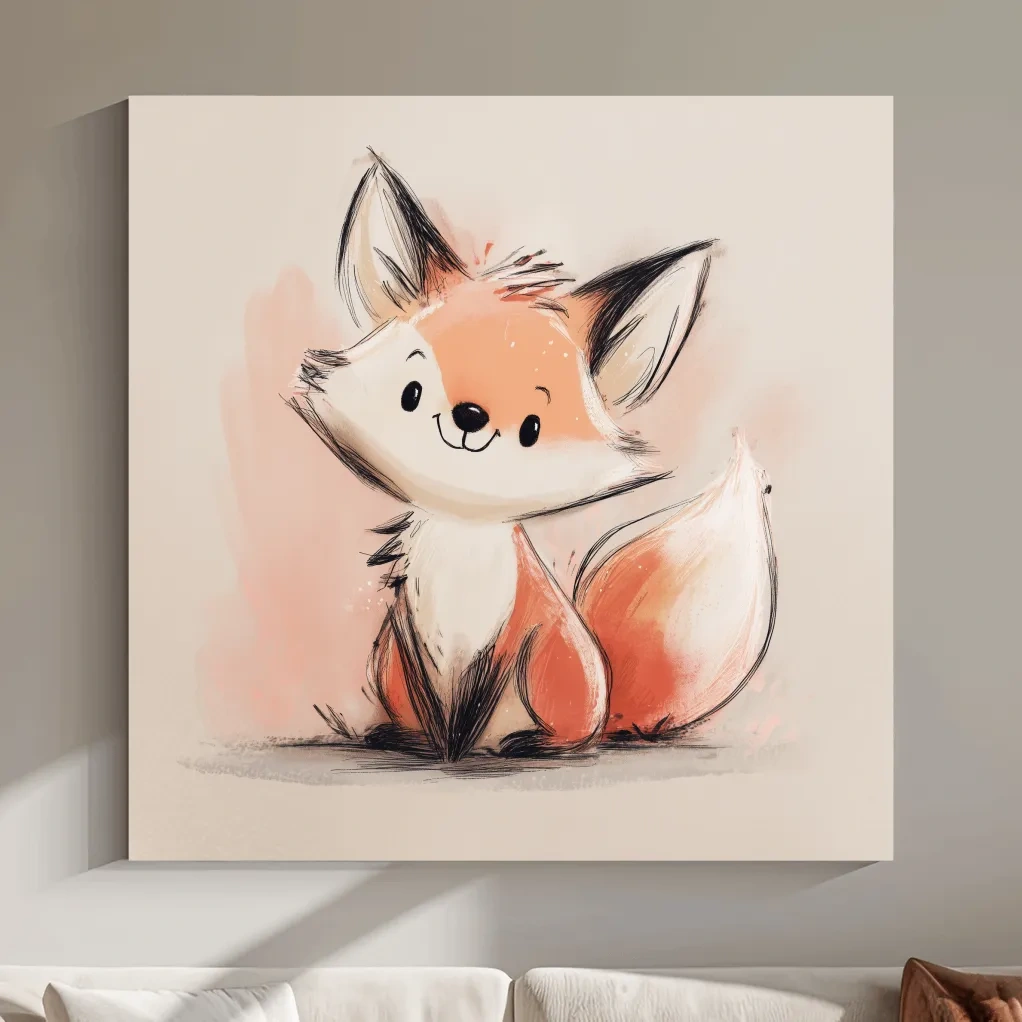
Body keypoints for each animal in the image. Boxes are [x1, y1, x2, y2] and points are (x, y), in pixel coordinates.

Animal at [290, 149, 774, 762]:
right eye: (412, 393)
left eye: (532, 428)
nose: (469, 417)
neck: (463, 546)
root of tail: (610, 712)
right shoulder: (408, 640)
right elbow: (440, 707)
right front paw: (442, 746)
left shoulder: (518, 634)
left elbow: (477, 700)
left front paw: (464, 747)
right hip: (392, 666)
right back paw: (407, 736)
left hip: (555, 670)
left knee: (564, 732)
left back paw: (527, 743)